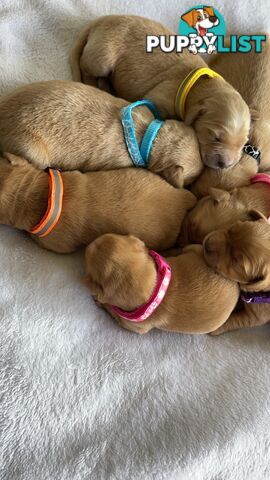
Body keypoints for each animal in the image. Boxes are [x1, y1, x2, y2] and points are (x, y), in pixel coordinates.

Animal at [70, 15, 250, 171]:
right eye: (215, 137)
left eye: (243, 144)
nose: (224, 165)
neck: (199, 87)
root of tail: (99, 21)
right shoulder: (161, 97)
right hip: (102, 57)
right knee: (86, 67)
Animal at [84, 232, 238, 334]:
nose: (88, 244)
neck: (156, 290)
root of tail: (236, 286)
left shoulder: (135, 326)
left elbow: (114, 313)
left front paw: (101, 302)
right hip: (196, 250)